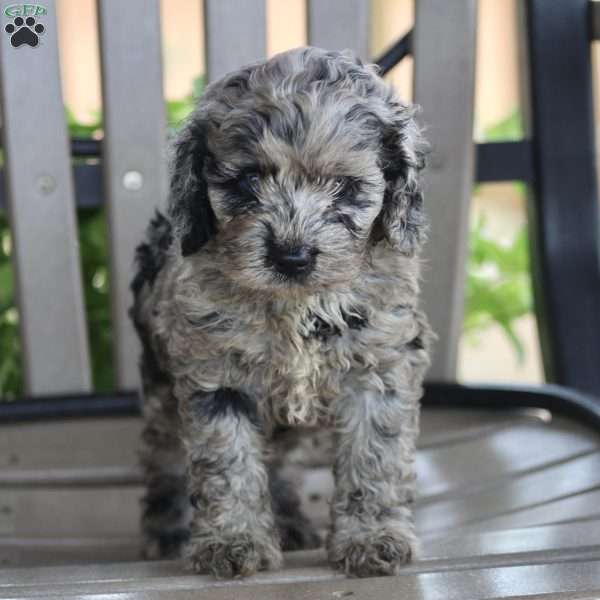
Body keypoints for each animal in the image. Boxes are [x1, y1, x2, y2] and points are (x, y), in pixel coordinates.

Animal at [130, 44, 432, 580]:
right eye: (249, 179)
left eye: (343, 185)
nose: (291, 256)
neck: (299, 304)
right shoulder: (216, 374)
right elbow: (227, 461)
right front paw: (233, 541)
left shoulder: (381, 365)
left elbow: (375, 454)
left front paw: (371, 536)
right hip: (160, 389)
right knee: (162, 456)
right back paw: (167, 531)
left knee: (281, 464)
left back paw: (290, 521)